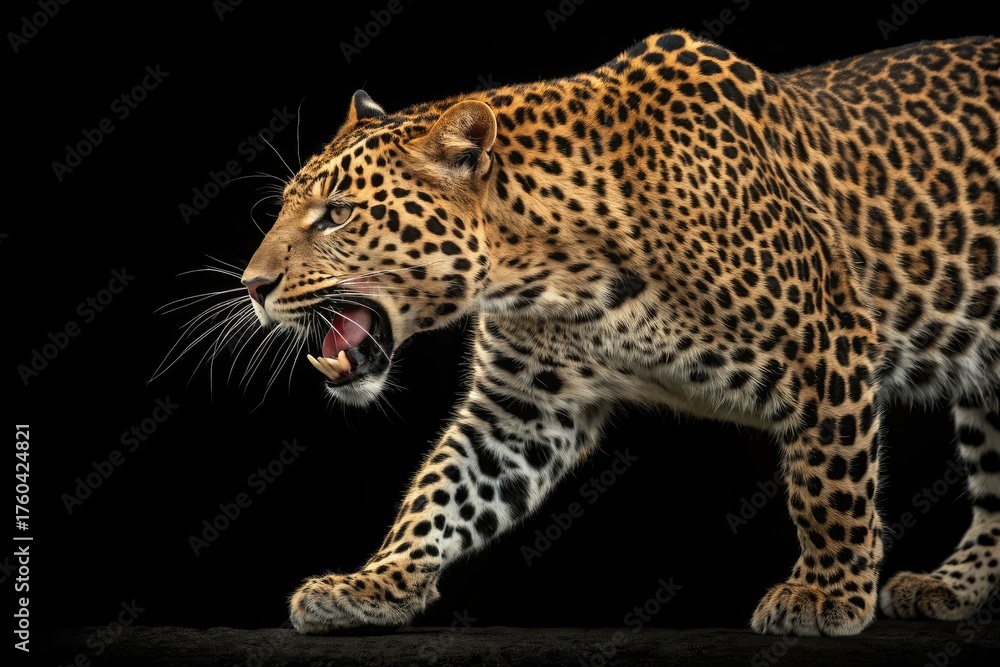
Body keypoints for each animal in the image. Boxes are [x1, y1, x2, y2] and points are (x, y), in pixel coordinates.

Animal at [234, 29, 1000, 636]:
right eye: (288, 208)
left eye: (337, 214)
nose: (251, 285)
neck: (550, 266)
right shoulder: (523, 407)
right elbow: (441, 490)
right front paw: (374, 585)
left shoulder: (826, 348)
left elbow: (828, 486)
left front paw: (827, 593)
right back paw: (951, 587)